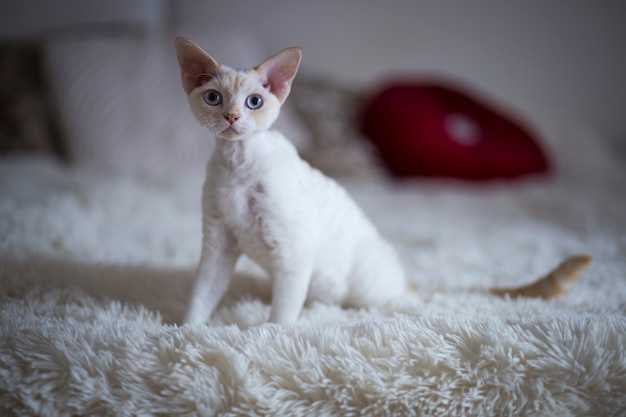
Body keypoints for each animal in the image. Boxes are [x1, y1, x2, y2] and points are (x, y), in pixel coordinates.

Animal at [174, 37, 404, 324]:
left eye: (254, 102)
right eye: (213, 98)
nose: (232, 116)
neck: (236, 164)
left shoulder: (293, 250)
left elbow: (280, 317)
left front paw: (269, 333)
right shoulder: (217, 245)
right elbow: (200, 297)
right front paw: (184, 329)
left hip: (368, 284)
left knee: (393, 299)